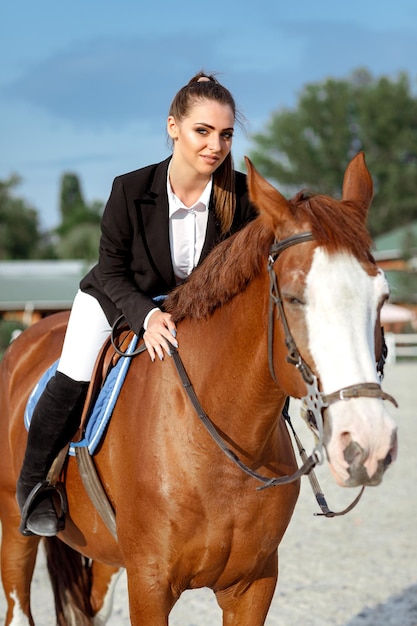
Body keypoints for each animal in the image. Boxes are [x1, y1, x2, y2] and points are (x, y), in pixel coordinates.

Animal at [0, 152, 396, 624]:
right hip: (14, 527)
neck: (222, 443)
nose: (368, 443)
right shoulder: (149, 584)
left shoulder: (254, 584)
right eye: (295, 297)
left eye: (383, 296)